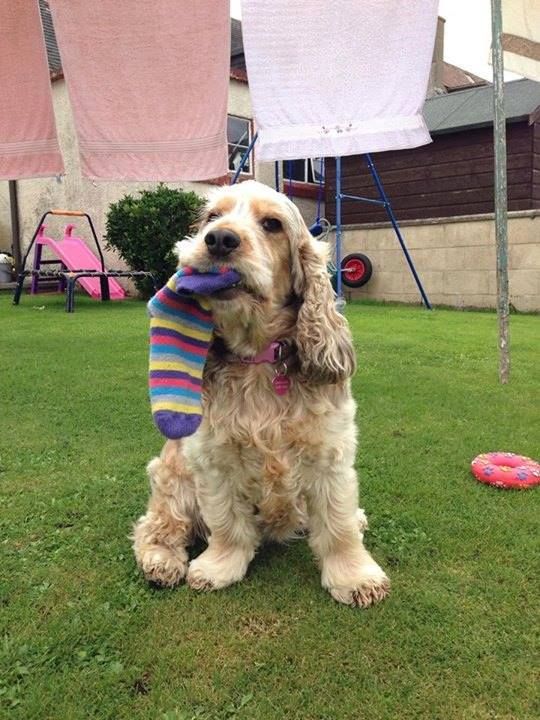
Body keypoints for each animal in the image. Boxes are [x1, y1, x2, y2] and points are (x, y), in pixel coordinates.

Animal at [133, 180, 390, 608]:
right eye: (212, 217)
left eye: (272, 224)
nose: (219, 239)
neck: (259, 358)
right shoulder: (213, 459)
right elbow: (227, 524)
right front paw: (218, 567)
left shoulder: (329, 453)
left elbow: (337, 525)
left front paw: (355, 578)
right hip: (172, 474)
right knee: (156, 524)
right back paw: (161, 562)